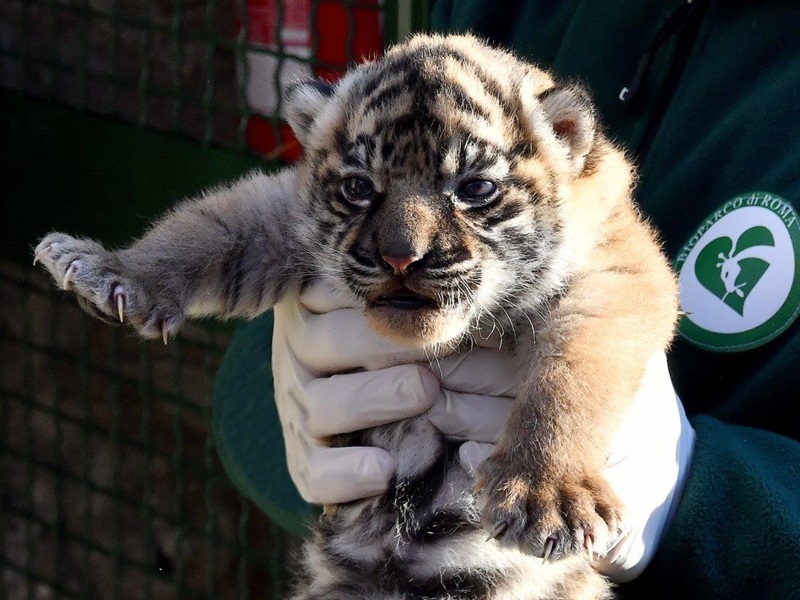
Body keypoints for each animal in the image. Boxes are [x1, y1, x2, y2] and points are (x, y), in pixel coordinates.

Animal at [34, 33, 678, 599]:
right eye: (359, 187)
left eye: (474, 189)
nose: (401, 257)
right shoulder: (282, 214)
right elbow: (204, 227)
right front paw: (107, 270)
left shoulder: (613, 280)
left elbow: (571, 378)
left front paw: (546, 495)